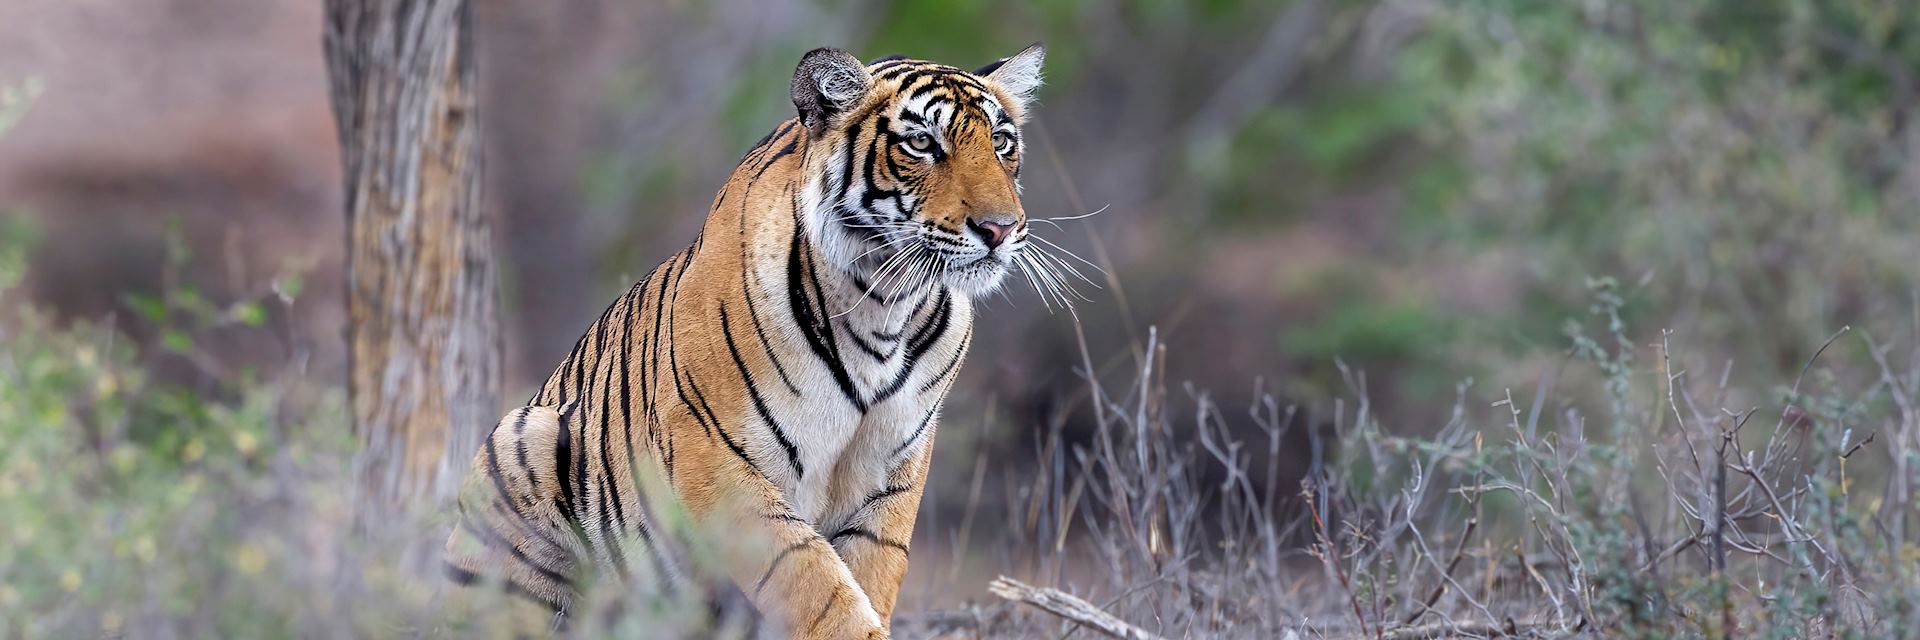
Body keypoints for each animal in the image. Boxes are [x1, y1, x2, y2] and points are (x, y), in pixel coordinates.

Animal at [441, 42, 1052, 634]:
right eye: (923, 143)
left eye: (1001, 142)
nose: (1000, 229)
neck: (886, 304)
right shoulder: (718, 460)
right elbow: (817, 587)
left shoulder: (891, 477)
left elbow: (868, 578)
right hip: (523, 440)